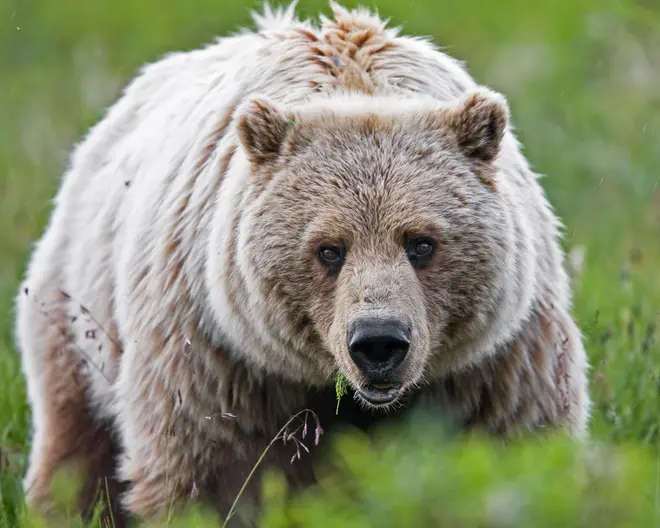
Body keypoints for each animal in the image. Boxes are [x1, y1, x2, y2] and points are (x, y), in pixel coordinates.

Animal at [15, 1, 590, 526]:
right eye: (328, 249)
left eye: (422, 243)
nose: (378, 342)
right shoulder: (219, 355)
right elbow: (203, 473)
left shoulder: (495, 362)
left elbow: (517, 442)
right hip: (77, 313)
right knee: (75, 443)